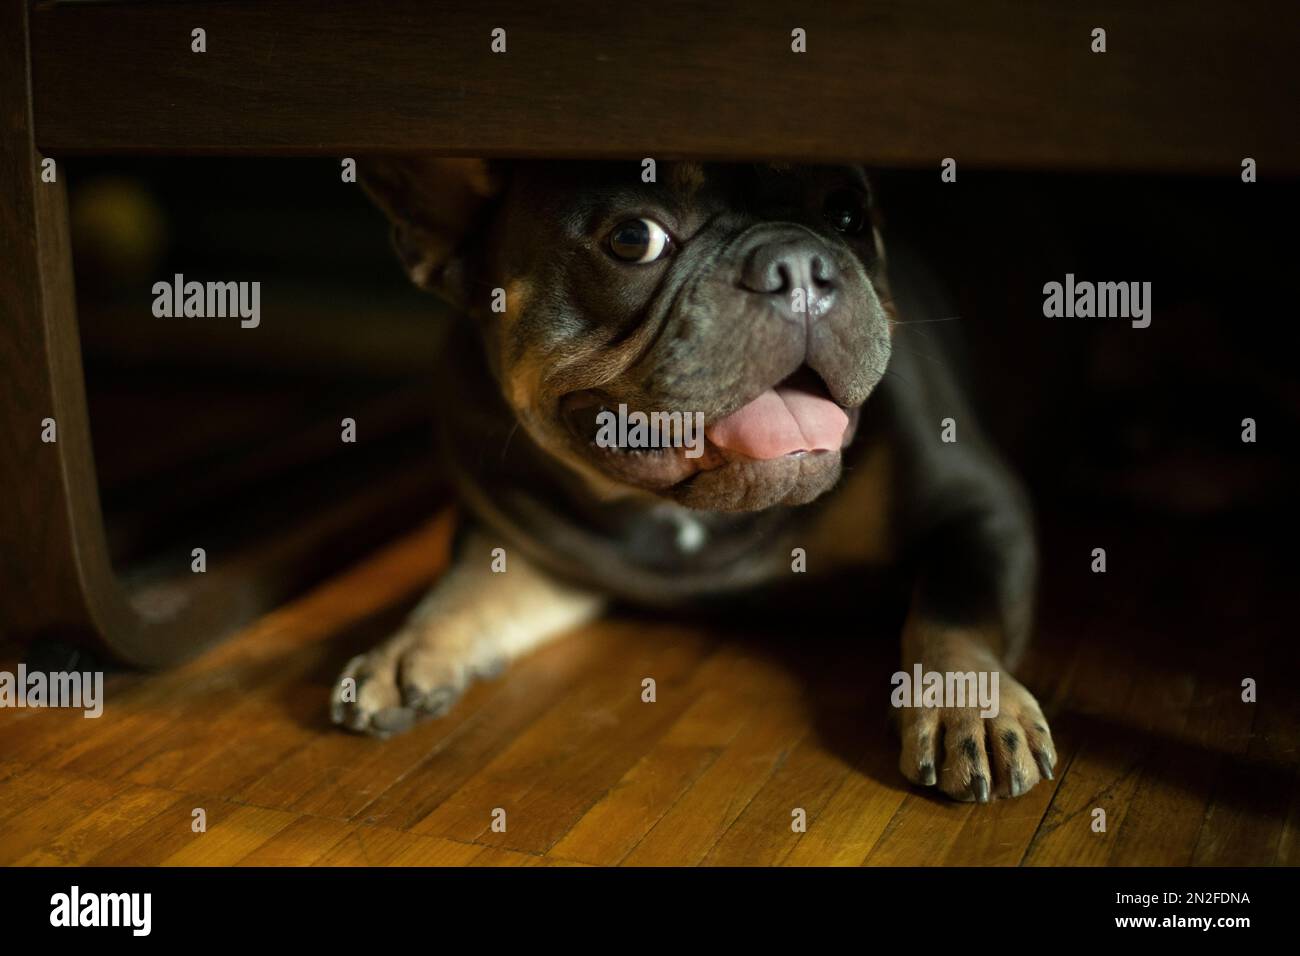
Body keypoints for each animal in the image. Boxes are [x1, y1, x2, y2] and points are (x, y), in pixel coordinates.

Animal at [335, 160, 1055, 806]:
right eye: (634, 239)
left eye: (849, 214)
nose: (797, 264)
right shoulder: (533, 544)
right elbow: (470, 584)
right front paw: (407, 647)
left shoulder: (977, 506)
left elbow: (956, 606)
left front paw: (970, 703)